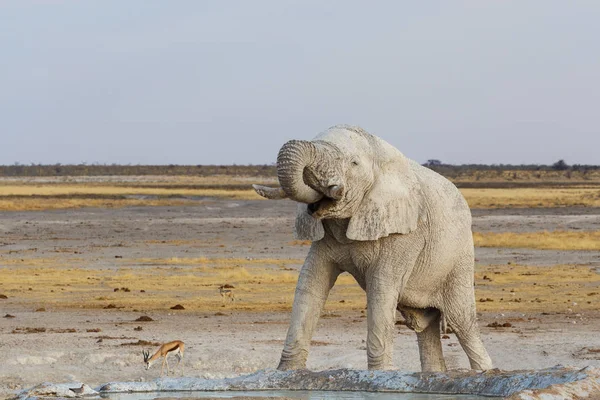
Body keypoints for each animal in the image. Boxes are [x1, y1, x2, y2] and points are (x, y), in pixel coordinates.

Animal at [253, 124, 492, 372]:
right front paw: (287, 371)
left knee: (461, 321)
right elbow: (311, 283)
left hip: (460, 257)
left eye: (354, 163)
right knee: (426, 326)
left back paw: (487, 371)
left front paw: (381, 372)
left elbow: (381, 286)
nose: (322, 195)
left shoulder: (404, 233)